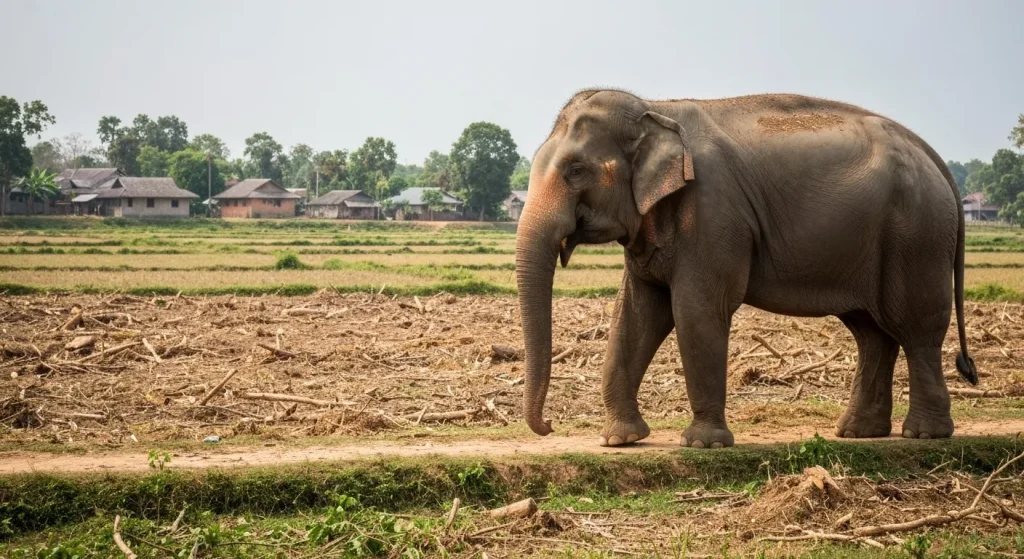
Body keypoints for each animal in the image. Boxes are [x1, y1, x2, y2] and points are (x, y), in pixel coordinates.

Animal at [515, 89, 978, 449]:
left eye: (577, 171)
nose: (548, 426)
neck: (655, 106)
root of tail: (934, 157)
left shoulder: (713, 215)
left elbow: (696, 311)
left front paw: (703, 444)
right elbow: (635, 315)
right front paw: (620, 440)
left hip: (918, 236)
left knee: (917, 328)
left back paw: (924, 434)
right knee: (872, 332)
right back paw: (858, 433)